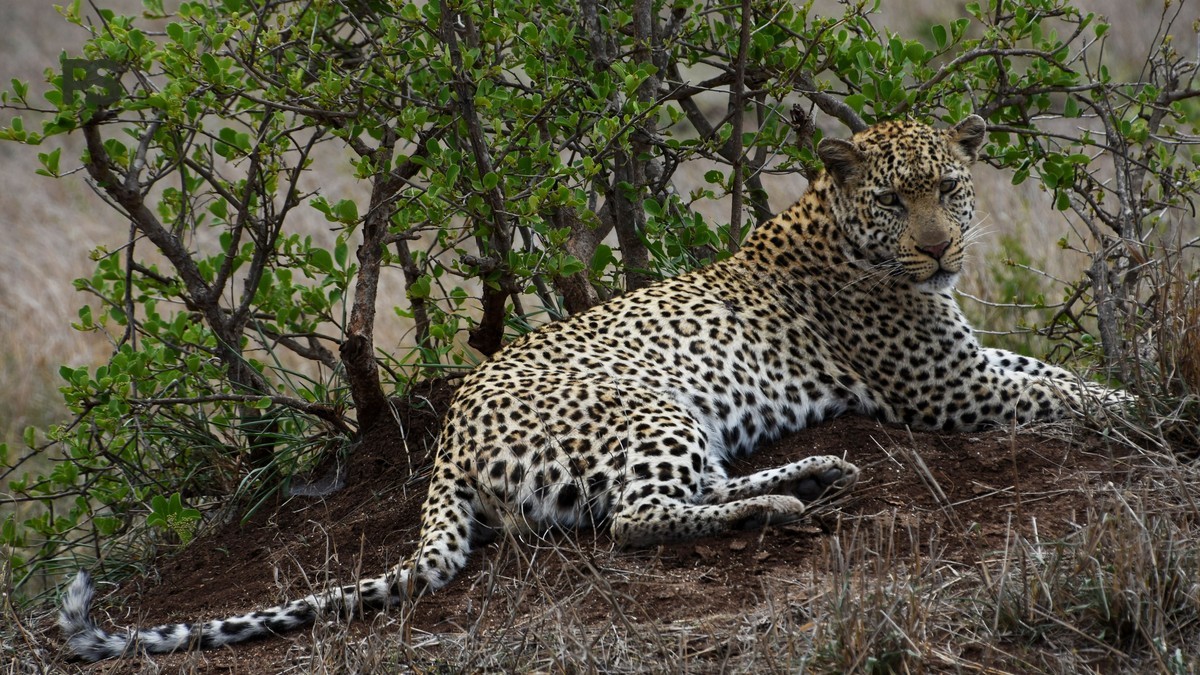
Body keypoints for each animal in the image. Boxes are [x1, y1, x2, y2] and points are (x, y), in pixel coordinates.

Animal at [59, 115, 1127, 661]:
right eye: (895, 198)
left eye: (949, 188)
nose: (940, 248)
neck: (837, 227)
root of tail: (446, 443)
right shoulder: (951, 385)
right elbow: (1067, 393)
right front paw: (1140, 406)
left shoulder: (971, 363)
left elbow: (1060, 375)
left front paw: (1123, 390)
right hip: (649, 406)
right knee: (638, 519)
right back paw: (786, 501)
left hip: (674, 421)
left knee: (682, 493)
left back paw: (816, 472)